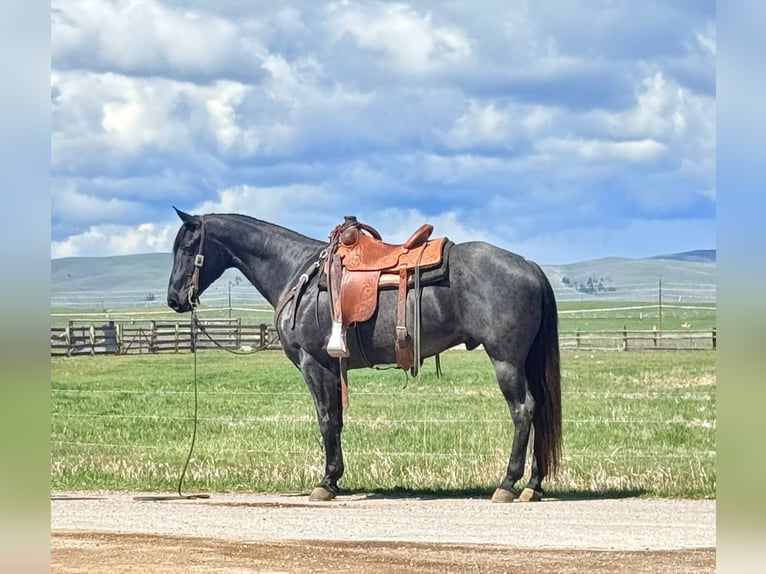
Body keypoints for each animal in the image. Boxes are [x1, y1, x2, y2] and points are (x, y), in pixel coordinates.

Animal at [167, 208, 562, 502]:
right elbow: (337, 419)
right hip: (524, 361)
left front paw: (326, 482)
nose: (174, 299)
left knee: (523, 410)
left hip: (506, 361)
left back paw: (508, 483)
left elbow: (327, 419)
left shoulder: (315, 363)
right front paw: (335, 478)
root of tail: (530, 266)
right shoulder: (332, 366)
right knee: (539, 410)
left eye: (186, 248)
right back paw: (534, 485)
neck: (297, 272)